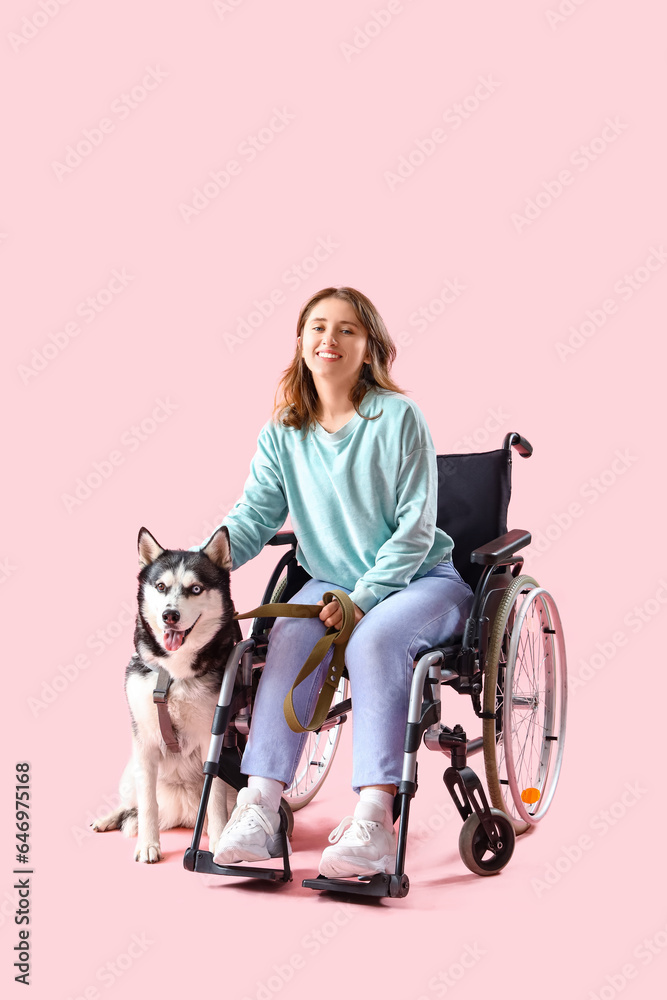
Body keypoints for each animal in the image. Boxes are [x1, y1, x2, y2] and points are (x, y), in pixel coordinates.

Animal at [92, 528, 241, 864]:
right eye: (160, 586)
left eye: (196, 589)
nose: (169, 615)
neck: (173, 674)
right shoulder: (144, 743)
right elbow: (147, 804)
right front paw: (148, 845)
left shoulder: (213, 740)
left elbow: (215, 799)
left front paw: (218, 844)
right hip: (130, 769)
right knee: (131, 802)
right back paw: (108, 818)